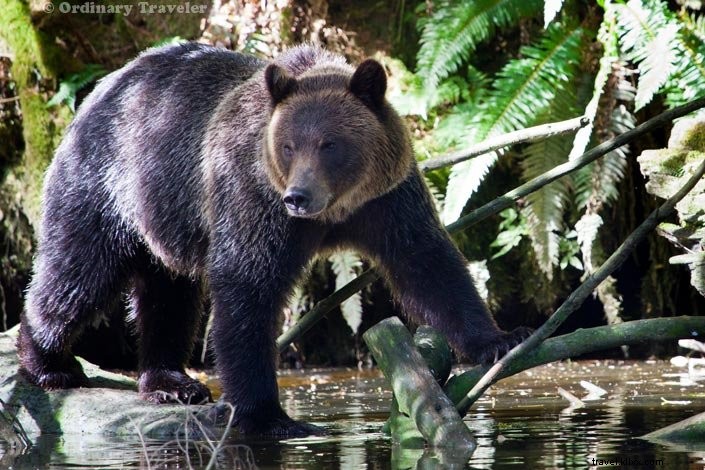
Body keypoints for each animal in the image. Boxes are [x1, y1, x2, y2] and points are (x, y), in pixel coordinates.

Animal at [17, 43, 530, 437]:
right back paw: (49, 362)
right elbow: (248, 288)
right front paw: (268, 413)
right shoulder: (253, 198)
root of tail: (104, 86)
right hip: (108, 186)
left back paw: (171, 380)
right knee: (78, 273)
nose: (298, 196)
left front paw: (502, 338)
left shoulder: (387, 201)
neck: (336, 212)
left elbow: (429, 265)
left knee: (169, 296)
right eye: (288, 145)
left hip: (166, 216)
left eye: (330, 144)